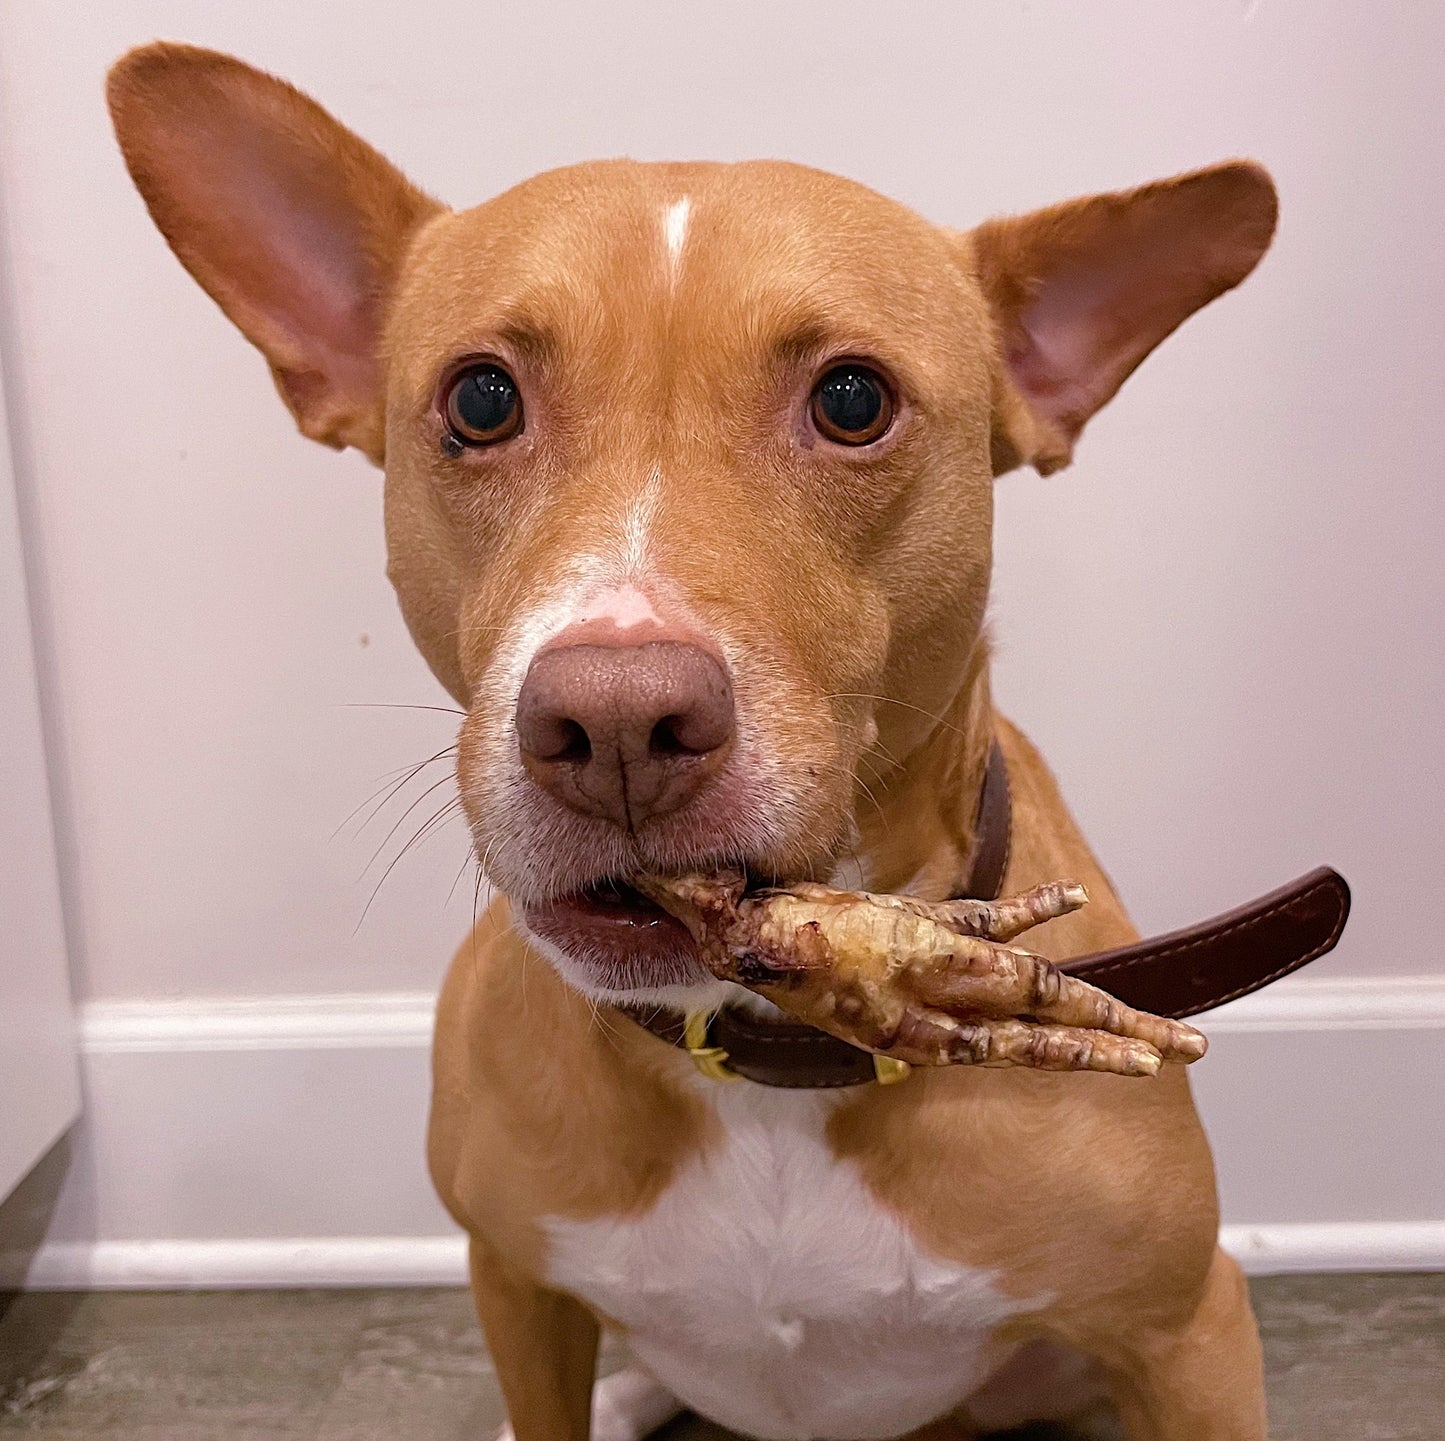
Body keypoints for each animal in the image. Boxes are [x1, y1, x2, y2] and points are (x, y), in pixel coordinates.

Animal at [106, 42, 1277, 1439]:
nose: (616, 721)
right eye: (480, 398)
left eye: (851, 399)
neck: (756, 1044)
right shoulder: (515, 1286)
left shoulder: (1187, 1334)